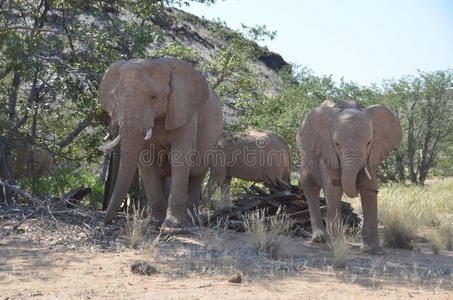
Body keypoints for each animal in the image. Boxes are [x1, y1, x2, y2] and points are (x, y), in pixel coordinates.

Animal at [98, 58, 222, 227]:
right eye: (116, 96)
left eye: (154, 97)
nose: (107, 221)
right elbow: (145, 161)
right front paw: (154, 222)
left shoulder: (184, 111)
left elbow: (180, 157)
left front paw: (172, 226)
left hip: (212, 140)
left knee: (196, 176)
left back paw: (192, 221)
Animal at [298, 100, 400, 253]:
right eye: (337, 144)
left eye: (368, 143)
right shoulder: (327, 150)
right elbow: (334, 190)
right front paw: (336, 246)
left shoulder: (372, 154)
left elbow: (368, 189)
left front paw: (373, 250)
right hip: (304, 154)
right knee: (310, 186)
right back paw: (319, 239)